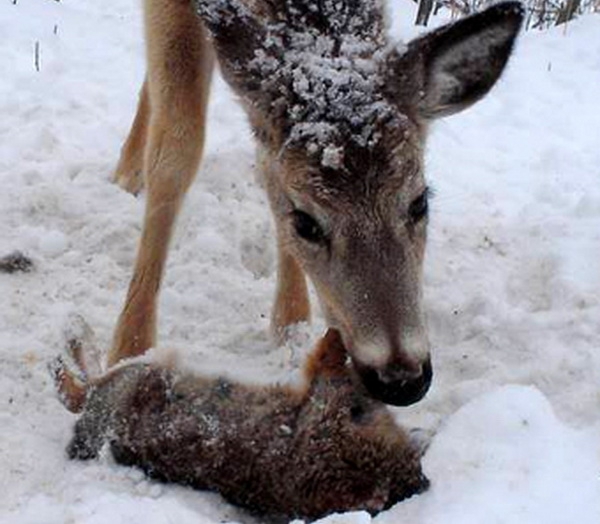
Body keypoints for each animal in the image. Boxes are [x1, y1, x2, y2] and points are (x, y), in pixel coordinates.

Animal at [50, 320, 426, 520]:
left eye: (360, 413)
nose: (422, 481)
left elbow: (325, 360)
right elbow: (326, 358)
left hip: (122, 385)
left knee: (79, 387)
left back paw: (71, 337)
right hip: (124, 382)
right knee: (81, 383)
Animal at [110, 0, 524, 406]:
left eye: (420, 202)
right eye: (305, 222)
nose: (401, 379)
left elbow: (266, 163)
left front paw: (291, 328)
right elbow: (177, 151)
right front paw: (128, 353)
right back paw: (128, 172)